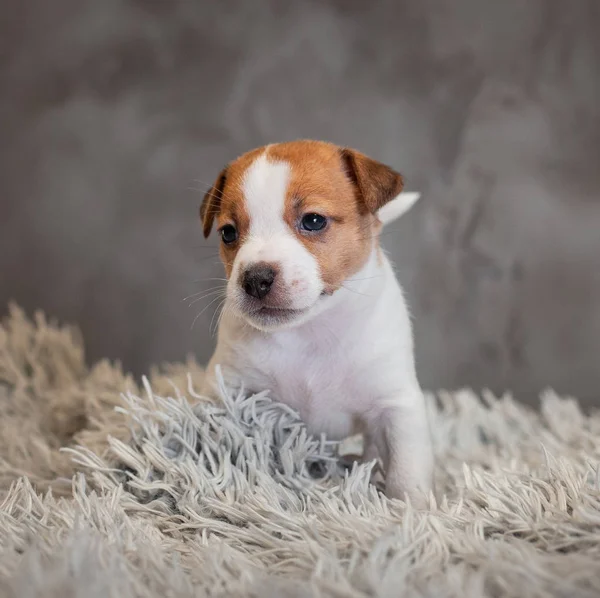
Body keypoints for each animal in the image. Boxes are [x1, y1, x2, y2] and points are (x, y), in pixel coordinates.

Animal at [199, 142, 434, 510]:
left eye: (313, 221)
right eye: (228, 233)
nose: (255, 278)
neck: (310, 331)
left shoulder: (397, 405)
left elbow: (406, 471)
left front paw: (410, 511)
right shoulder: (228, 389)